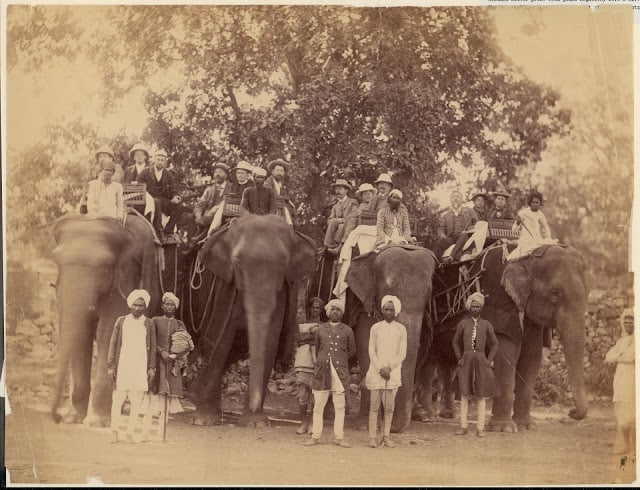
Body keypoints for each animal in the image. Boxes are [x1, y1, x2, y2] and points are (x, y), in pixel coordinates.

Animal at [51, 214, 164, 424]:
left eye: (104, 265)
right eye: (56, 260)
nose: (57, 417)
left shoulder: (124, 284)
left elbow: (107, 333)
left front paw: (96, 421)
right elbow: (83, 332)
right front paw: (73, 418)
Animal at [185, 214, 318, 424]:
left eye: (284, 263)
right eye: (238, 262)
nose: (255, 408)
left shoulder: (280, 294)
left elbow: (270, 340)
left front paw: (257, 423)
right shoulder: (224, 287)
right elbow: (220, 340)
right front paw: (202, 420)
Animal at [418, 245, 588, 432]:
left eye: (586, 293)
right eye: (555, 293)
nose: (571, 412)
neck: (527, 257)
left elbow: (532, 356)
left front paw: (526, 427)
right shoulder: (501, 302)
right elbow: (506, 353)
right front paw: (503, 428)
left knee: (448, 364)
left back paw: (447, 414)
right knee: (427, 364)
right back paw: (425, 416)